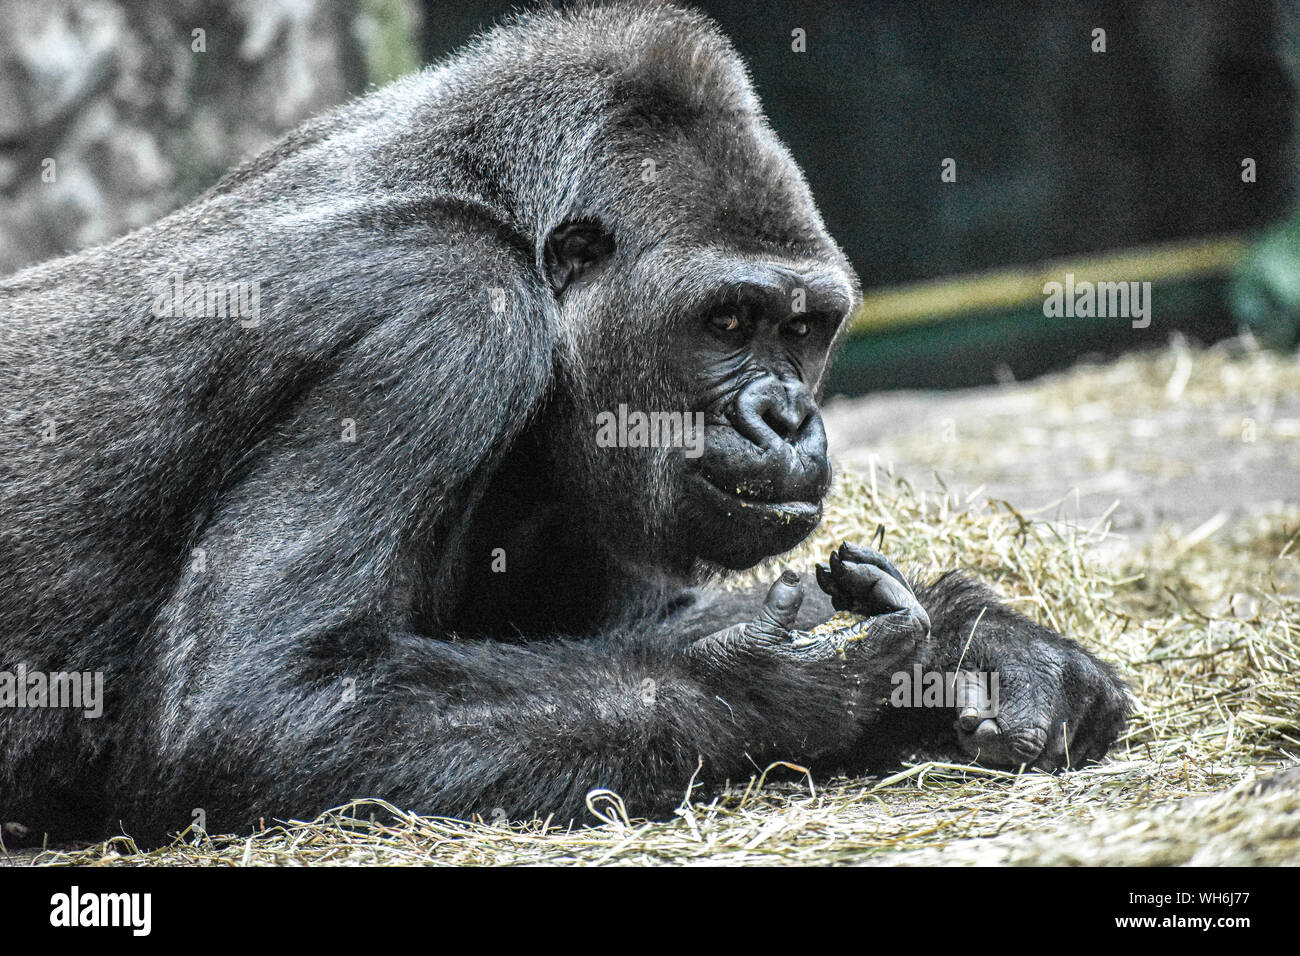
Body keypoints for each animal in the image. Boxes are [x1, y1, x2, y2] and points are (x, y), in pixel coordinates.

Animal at [0, 1, 1128, 842]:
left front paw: (982, 642)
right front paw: (773, 688)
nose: (787, 415)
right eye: (727, 321)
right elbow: (241, 713)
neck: (500, 206)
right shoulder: (452, 309)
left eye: (803, 328)